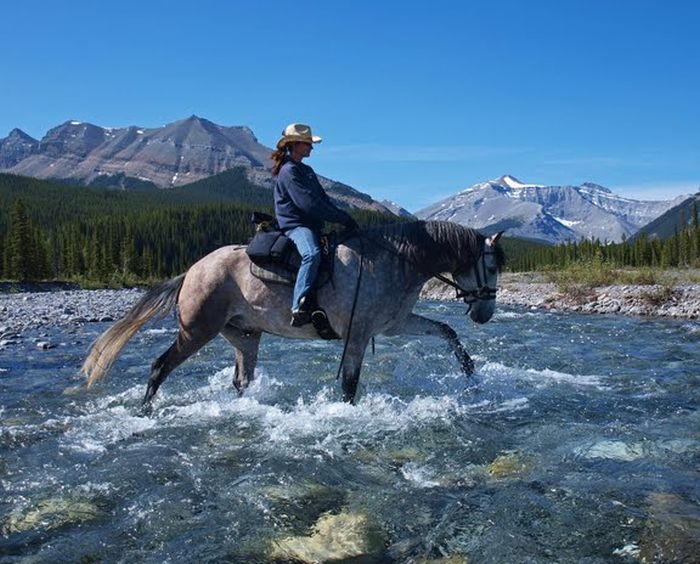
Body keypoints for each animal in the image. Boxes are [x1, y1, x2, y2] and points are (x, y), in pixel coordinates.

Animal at [82, 218, 506, 408]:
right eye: (491, 264)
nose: (485, 313)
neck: (396, 260)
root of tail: (192, 271)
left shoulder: (395, 325)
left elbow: (448, 332)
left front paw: (472, 378)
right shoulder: (358, 334)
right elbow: (349, 385)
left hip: (244, 336)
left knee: (241, 380)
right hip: (197, 330)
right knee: (159, 367)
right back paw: (146, 411)